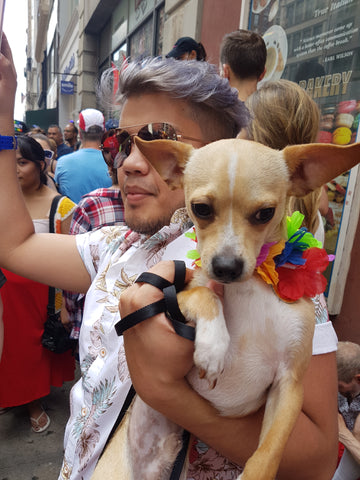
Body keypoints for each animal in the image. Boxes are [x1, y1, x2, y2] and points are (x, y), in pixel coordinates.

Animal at [93, 137, 360, 478]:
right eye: (201, 209)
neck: (249, 288)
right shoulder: (172, 298)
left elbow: (269, 452)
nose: (226, 267)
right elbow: (207, 296)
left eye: (265, 213)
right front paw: (214, 346)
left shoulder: (289, 386)